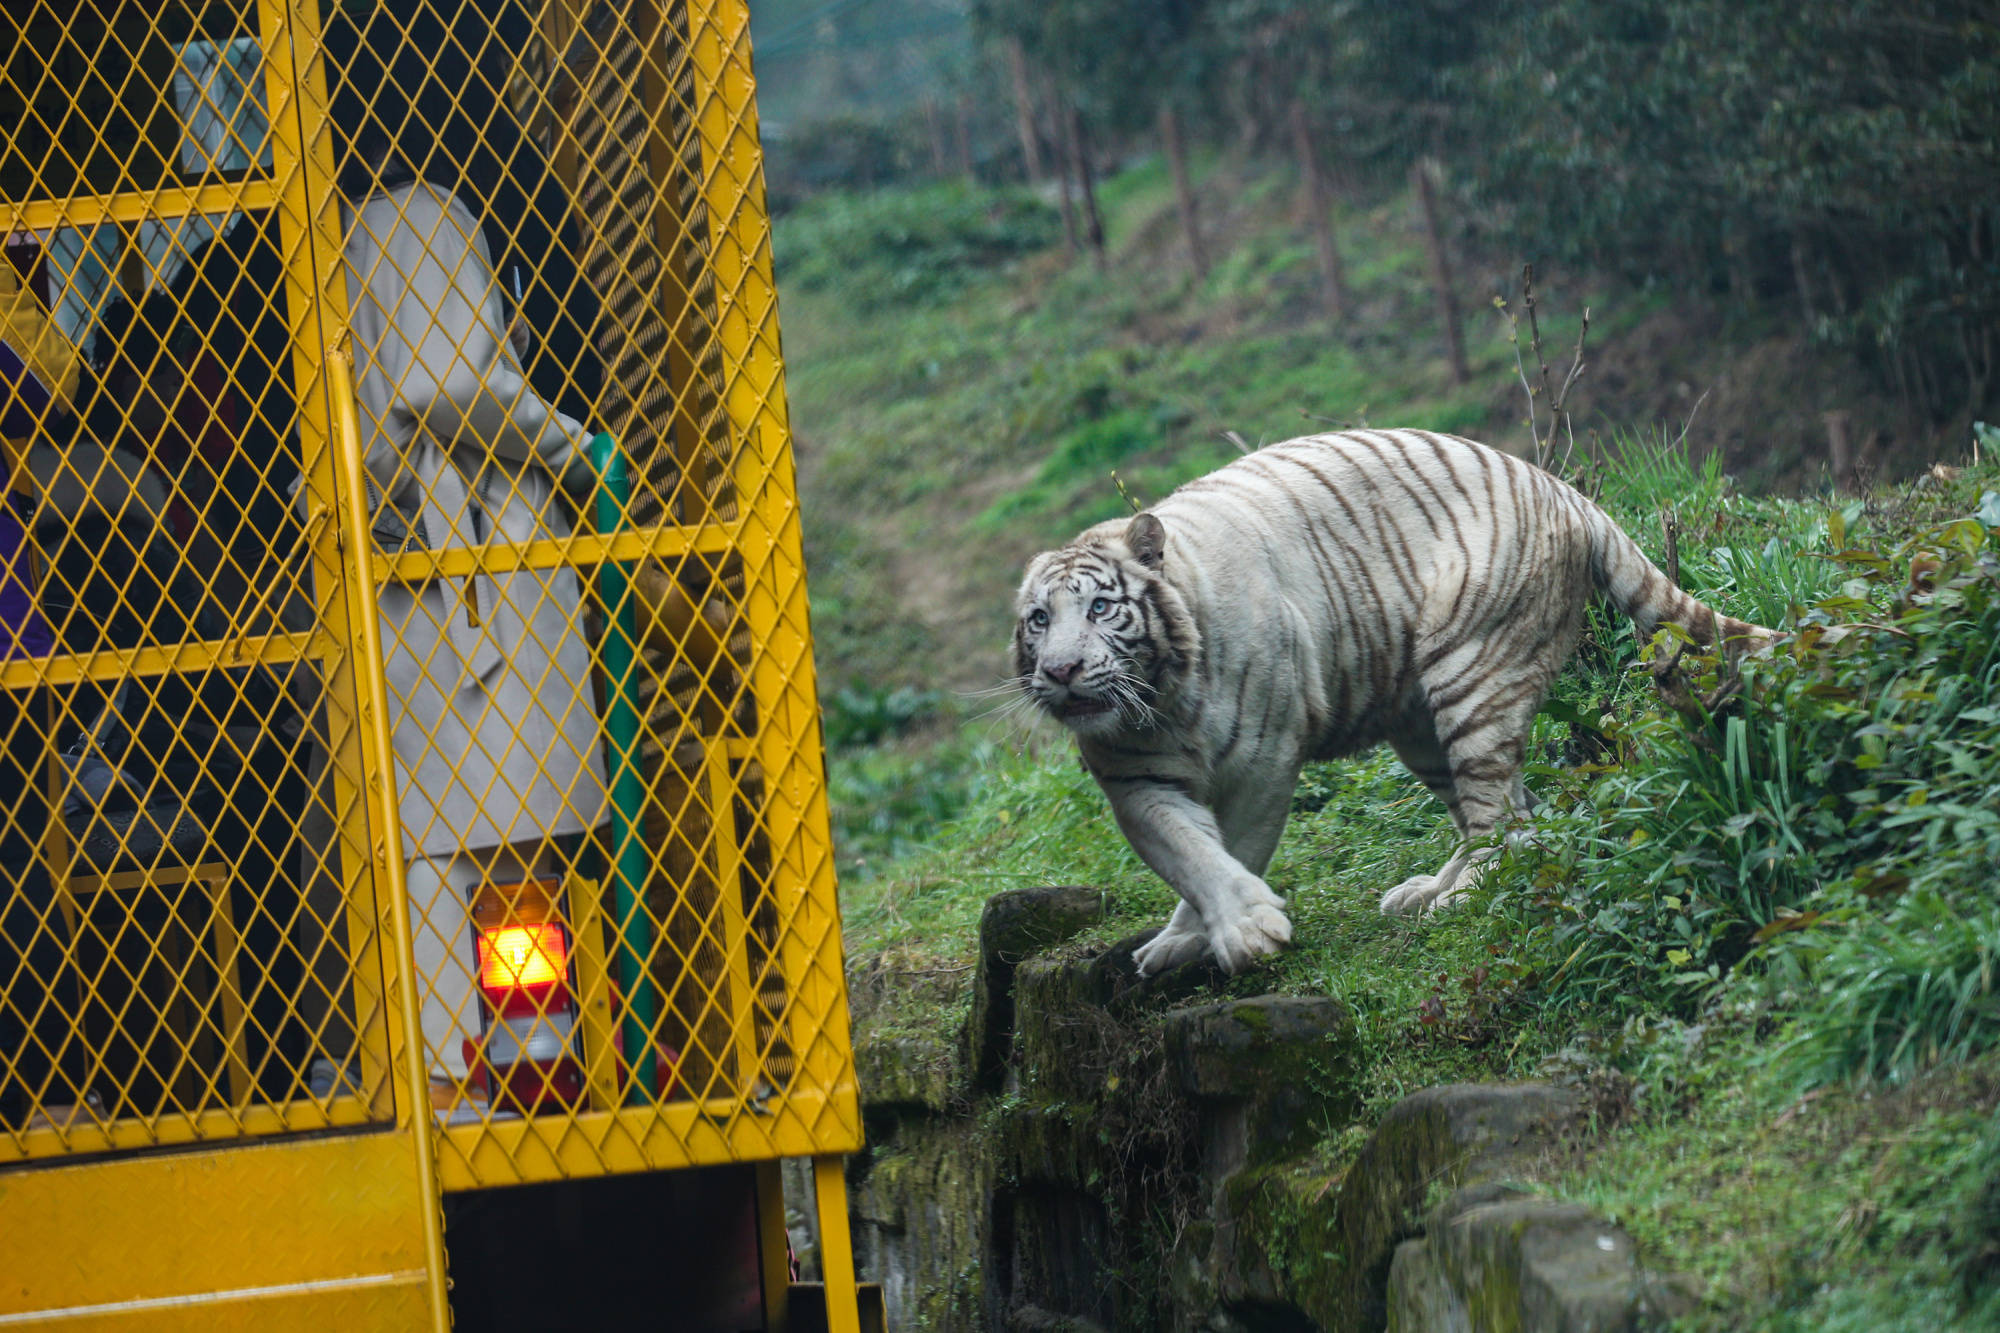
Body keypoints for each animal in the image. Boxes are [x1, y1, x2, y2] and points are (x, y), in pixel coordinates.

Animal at [1016, 430, 1768, 972]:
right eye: (1039, 620)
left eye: (1101, 607)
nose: (1061, 670)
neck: (1162, 703)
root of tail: (1561, 488)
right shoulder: (1134, 778)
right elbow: (1187, 856)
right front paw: (1190, 938)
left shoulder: (1264, 758)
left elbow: (1236, 847)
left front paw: (1244, 935)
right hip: (1421, 727)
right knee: (1514, 815)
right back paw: (1430, 891)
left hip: (1472, 675)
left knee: (1498, 813)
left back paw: (1461, 895)